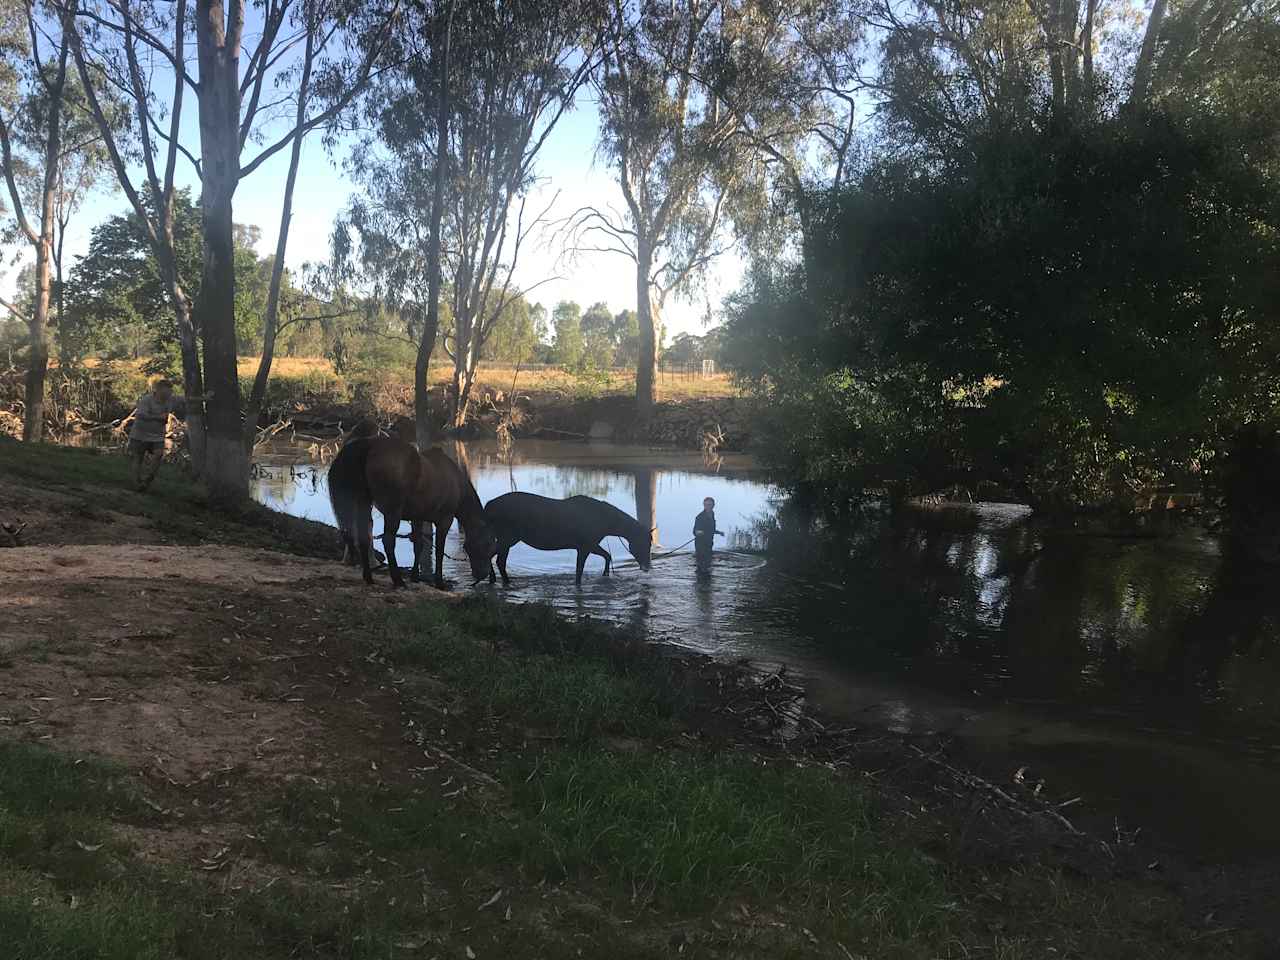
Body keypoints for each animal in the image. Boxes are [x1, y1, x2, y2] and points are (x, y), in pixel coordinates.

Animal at [325, 440, 494, 591]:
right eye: (487, 544)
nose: (481, 574)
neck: (457, 484)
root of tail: (369, 446)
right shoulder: (445, 520)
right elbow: (439, 551)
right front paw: (439, 582)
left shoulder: (417, 518)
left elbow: (418, 546)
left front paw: (415, 577)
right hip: (392, 511)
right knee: (388, 541)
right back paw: (398, 580)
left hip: (364, 503)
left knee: (363, 538)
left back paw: (369, 577)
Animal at [483, 496, 655, 586]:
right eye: (644, 543)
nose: (647, 566)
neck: (608, 525)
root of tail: (487, 507)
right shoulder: (585, 545)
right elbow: (579, 571)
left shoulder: (589, 544)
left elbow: (607, 555)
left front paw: (606, 574)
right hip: (508, 537)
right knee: (499, 560)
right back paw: (506, 582)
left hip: (507, 538)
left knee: (490, 554)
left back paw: (493, 579)